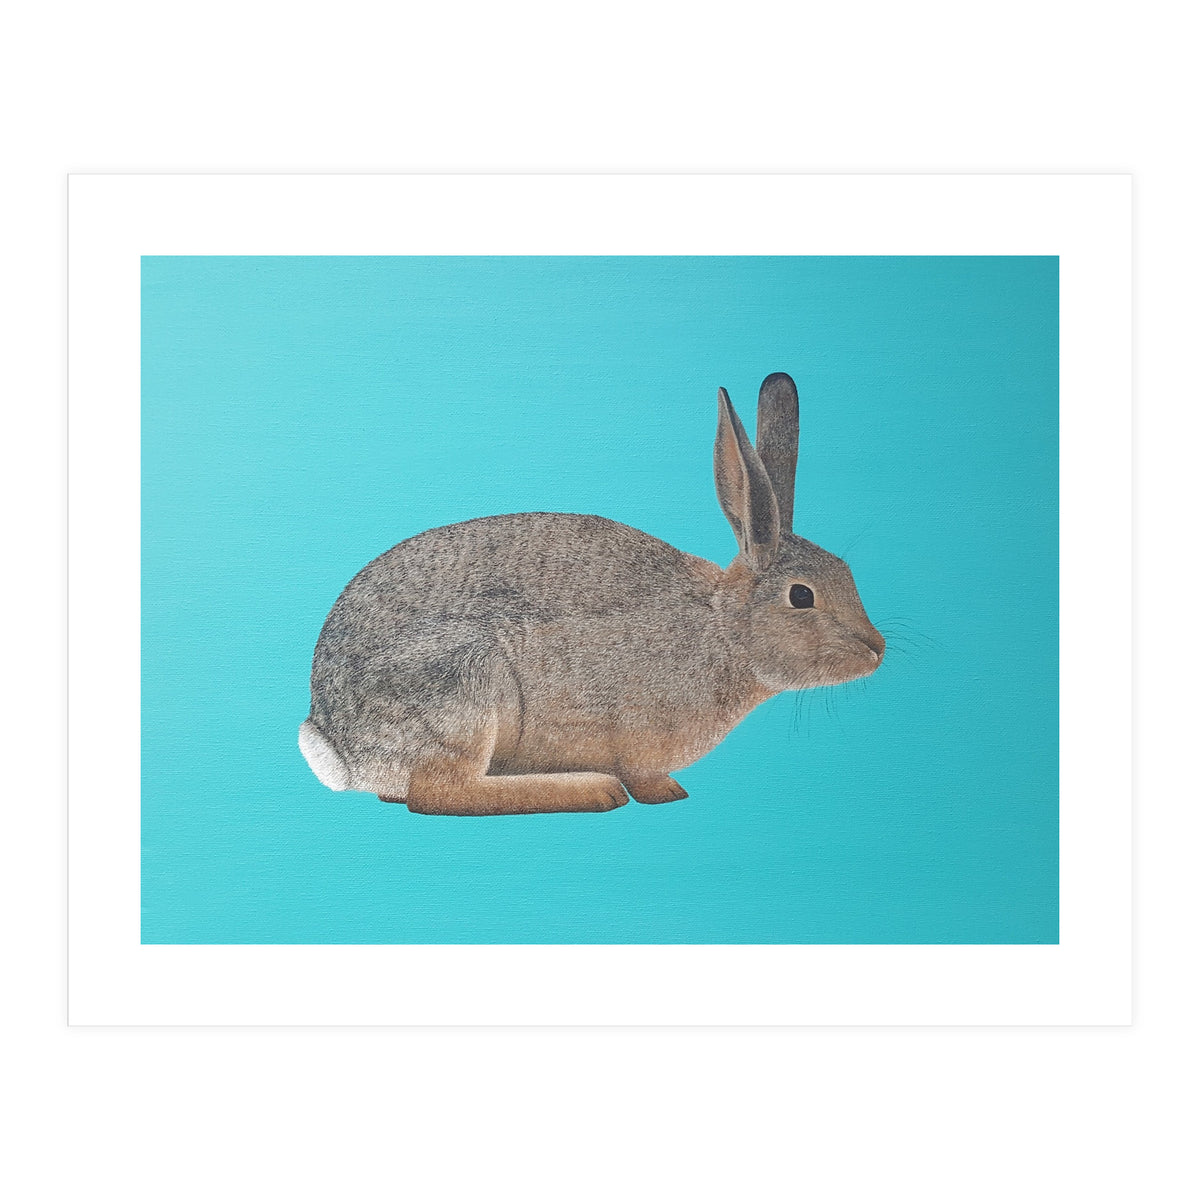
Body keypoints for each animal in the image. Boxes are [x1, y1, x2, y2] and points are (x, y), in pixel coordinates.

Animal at [299, 373, 884, 815]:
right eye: (802, 597)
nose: (876, 649)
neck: (724, 628)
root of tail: (339, 745)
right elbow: (644, 776)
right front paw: (665, 793)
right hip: (464, 683)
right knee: (439, 793)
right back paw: (592, 789)